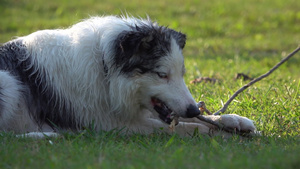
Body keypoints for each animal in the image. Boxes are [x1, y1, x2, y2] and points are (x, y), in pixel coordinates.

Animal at [0, 15, 256, 138]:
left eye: (182, 75)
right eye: (161, 75)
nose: (193, 109)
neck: (104, 67)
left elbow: (195, 119)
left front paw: (233, 120)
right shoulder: (113, 124)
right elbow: (186, 127)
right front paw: (216, 132)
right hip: (9, 83)